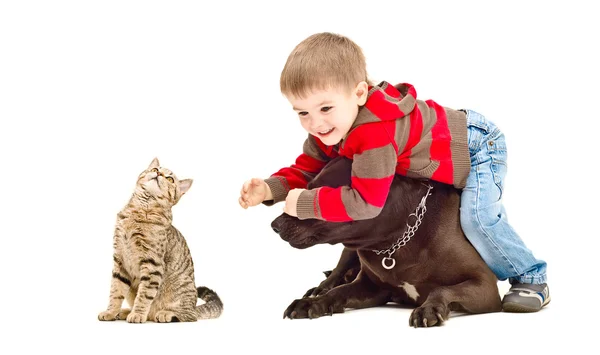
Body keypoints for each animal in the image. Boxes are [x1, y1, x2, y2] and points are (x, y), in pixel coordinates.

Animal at [98, 158, 223, 322]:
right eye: (155, 169)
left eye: (170, 179)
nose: (158, 173)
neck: (140, 211)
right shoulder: (120, 260)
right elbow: (116, 292)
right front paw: (111, 311)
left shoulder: (153, 264)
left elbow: (144, 295)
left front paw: (138, 314)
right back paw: (125, 312)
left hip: (183, 294)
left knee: (189, 315)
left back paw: (165, 314)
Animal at [270, 157, 500, 330]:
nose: (275, 225)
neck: (393, 241)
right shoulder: (371, 287)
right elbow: (338, 292)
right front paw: (313, 302)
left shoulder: (485, 285)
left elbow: (443, 290)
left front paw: (429, 308)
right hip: (348, 252)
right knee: (337, 273)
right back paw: (321, 287)